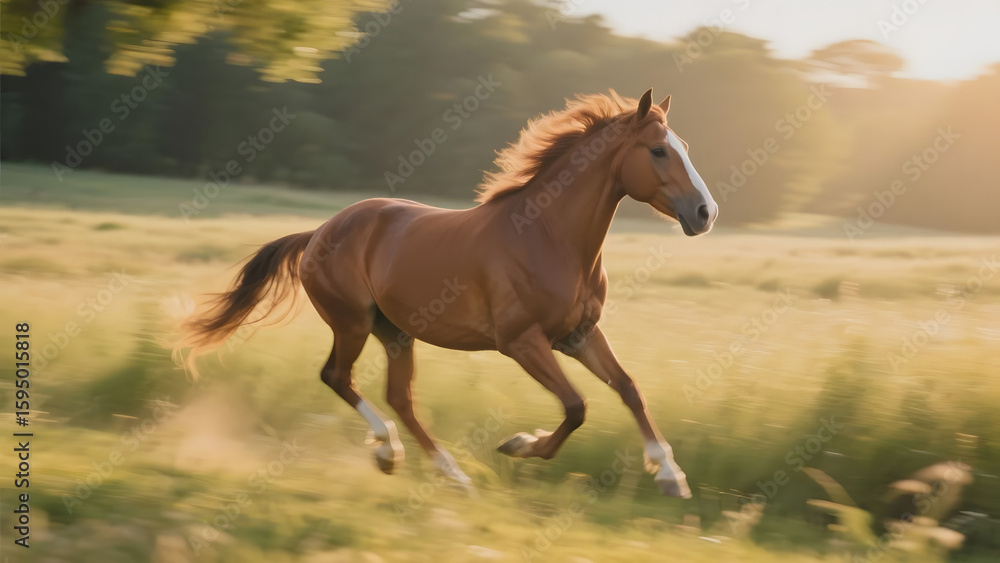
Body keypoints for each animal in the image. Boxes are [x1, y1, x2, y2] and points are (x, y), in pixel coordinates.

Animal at [177, 89, 718, 498]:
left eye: (687, 146)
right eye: (658, 150)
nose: (705, 212)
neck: (547, 236)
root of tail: (318, 233)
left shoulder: (579, 335)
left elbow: (628, 388)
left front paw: (671, 477)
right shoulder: (522, 341)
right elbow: (576, 406)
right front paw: (518, 445)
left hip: (394, 331)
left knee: (399, 396)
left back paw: (444, 473)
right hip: (353, 322)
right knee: (337, 377)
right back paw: (395, 454)